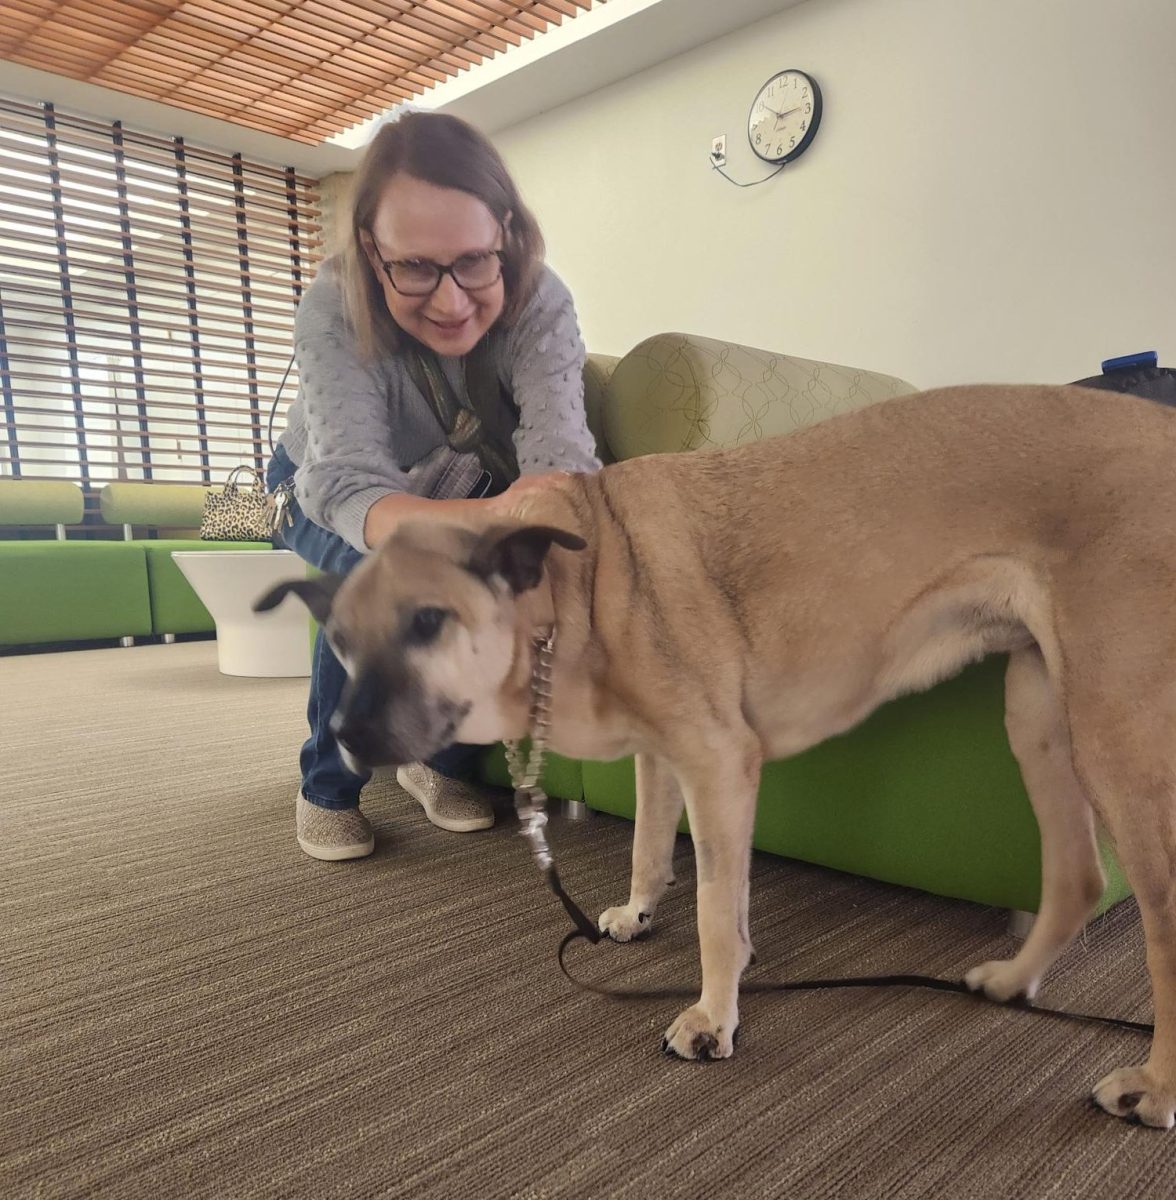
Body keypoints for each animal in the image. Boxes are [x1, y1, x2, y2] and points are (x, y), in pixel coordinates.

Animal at [256, 386, 1176, 1123]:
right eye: (340, 641)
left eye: (427, 622)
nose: (348, 737)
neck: (581, 575)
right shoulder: (669, 760)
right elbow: (656, 852)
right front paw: (641, 916)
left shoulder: (718, 762)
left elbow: (710, 910)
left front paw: (711, 1018)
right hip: (1043, 711)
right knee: (1078, 879)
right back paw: (1012, 981)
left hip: (1118, 733)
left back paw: (1155, 1087)